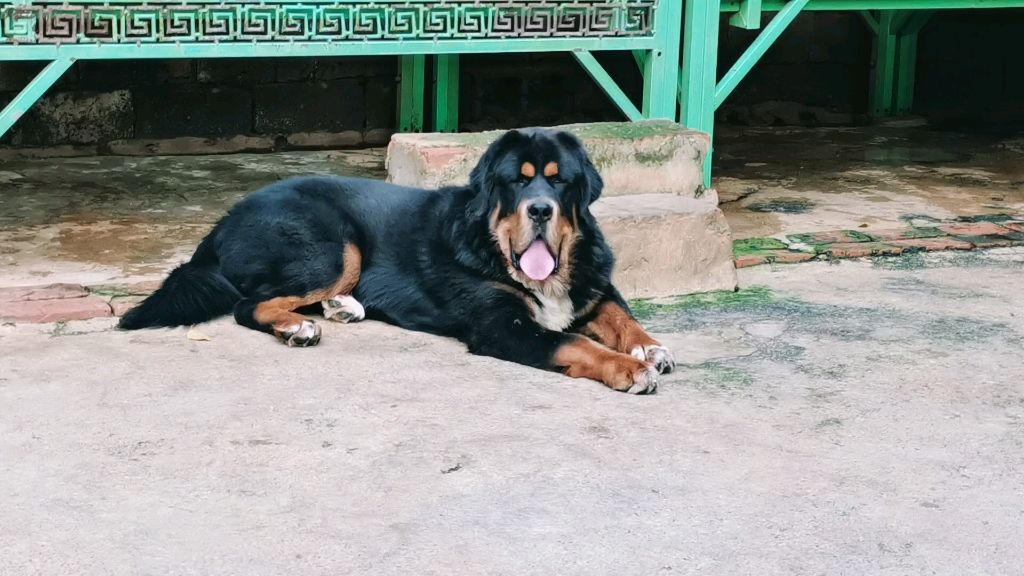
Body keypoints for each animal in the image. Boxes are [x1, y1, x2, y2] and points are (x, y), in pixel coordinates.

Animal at [119, 127, 675, 391]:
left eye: (559, 182)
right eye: (517, 181)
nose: (540, 209)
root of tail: (225, 217)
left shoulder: (592, 284)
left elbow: (618, 314)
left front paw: (649, 348)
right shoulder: (504, 326)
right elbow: (575, 344)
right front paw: (628, 369)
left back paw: (342, 307)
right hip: (336, 246)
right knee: (249, 304)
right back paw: (300, 326)